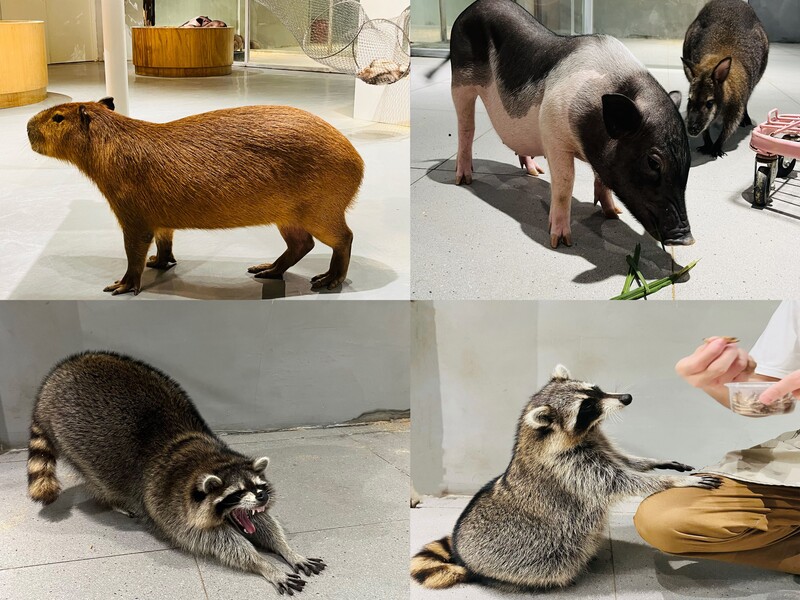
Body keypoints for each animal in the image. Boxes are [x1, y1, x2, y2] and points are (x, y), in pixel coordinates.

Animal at [27, 352, 324, 596]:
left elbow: (265, 524)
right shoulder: (176, 512)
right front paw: (265, 564)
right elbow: (223, 545)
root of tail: (54, 377)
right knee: (100, 480)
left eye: (258, 486)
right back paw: (113, 500)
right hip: (76, 441)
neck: (214, 462)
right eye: (237, 492)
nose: (262, 498)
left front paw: (287, 550)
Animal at [412, 366, 720, 592]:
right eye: (588, 407)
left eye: (596, 390)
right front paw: (671, 481)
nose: (626, 398)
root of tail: (461, 552)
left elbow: (625, 461)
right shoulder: (570, 468)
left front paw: (654, 463)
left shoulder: (598, 443)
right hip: (520, 557)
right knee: (551, 565)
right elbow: (620, 480)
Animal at [446, 0, 692, 248]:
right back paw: (464, 179)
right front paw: (561, 241)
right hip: (460, 81)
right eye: (653, 162)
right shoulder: (553, 135)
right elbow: (565, 182)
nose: (687, 239)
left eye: (688, 160)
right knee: (465, 128)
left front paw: (614, 214)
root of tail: (471, 8)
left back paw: (536, 172)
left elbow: (602, 178)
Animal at [680, 0, 768, 157]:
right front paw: (707, 144)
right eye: (689, 100)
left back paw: (746, 119)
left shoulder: (736, 106)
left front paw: (716, 147)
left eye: (709, 103)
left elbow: (729, 128)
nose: (691, 129)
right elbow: (707, 128)